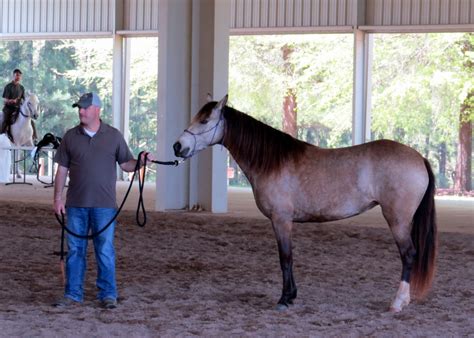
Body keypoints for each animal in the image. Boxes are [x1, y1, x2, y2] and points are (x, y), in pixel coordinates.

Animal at [173, 93, 436, 312]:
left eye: (204, 121)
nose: (178, 146)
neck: (272, 162)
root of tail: (419, 158)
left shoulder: (281, 220)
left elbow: (285, 258)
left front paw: (284, 299)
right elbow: (288, 258)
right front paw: (291, 296)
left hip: (397, 220)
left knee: (408, 254)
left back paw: (398, 303)